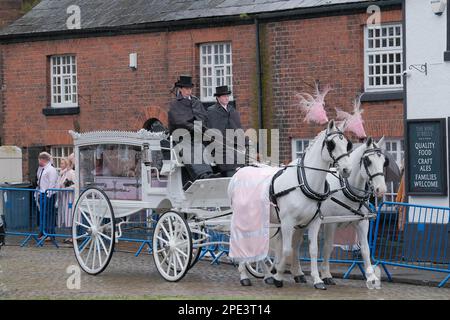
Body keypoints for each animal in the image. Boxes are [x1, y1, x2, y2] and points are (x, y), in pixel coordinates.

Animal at [237, 120, 354, 288]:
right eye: (331, 144)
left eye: (347, 144)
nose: (347, 170)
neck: (304, 182)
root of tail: (240, 170)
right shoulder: (287, 222)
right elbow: (287, 250)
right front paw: (279, 276)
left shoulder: (314, 221)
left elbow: (313, 249)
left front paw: (317, 280)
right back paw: (244, 275)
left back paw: (266, 276)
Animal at [290, 136, 388, 288]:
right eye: (368, 161)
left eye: (384, 161)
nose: (381, 189)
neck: (346, 188)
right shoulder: (331, 223)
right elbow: (328, 247)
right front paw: (326, 275)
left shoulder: (362, 221)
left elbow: (365, 249)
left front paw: (371, 277)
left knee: (295, 244)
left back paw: (298, 273)